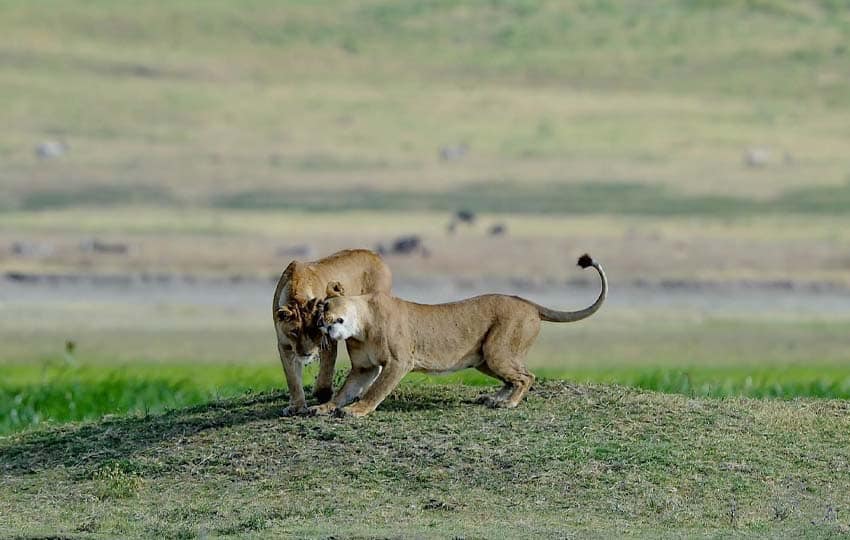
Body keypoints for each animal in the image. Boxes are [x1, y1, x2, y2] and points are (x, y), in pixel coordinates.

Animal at [272, 249, 392, 415]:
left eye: (314, 330)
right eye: (294, 332)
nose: (306, 354)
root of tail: (375, 255)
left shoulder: (328, 340)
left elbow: (326, 371)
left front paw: (323, 394)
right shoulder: (284, 346)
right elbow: (292, 378)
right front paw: (296, 406)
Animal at [311, 254, 607, 417]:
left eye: (324, 307)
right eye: (319, 316)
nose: (322, 325)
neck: (361, 326)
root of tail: (529, 303)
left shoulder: (399, 361)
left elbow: (376, 390)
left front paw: (357, 411)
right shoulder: (364, 367)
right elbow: (346, 390)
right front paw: (325, 408)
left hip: (497, 351)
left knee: (527, 377)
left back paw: (508, 404)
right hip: (485, 358)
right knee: (513, 378)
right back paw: (494, 399)